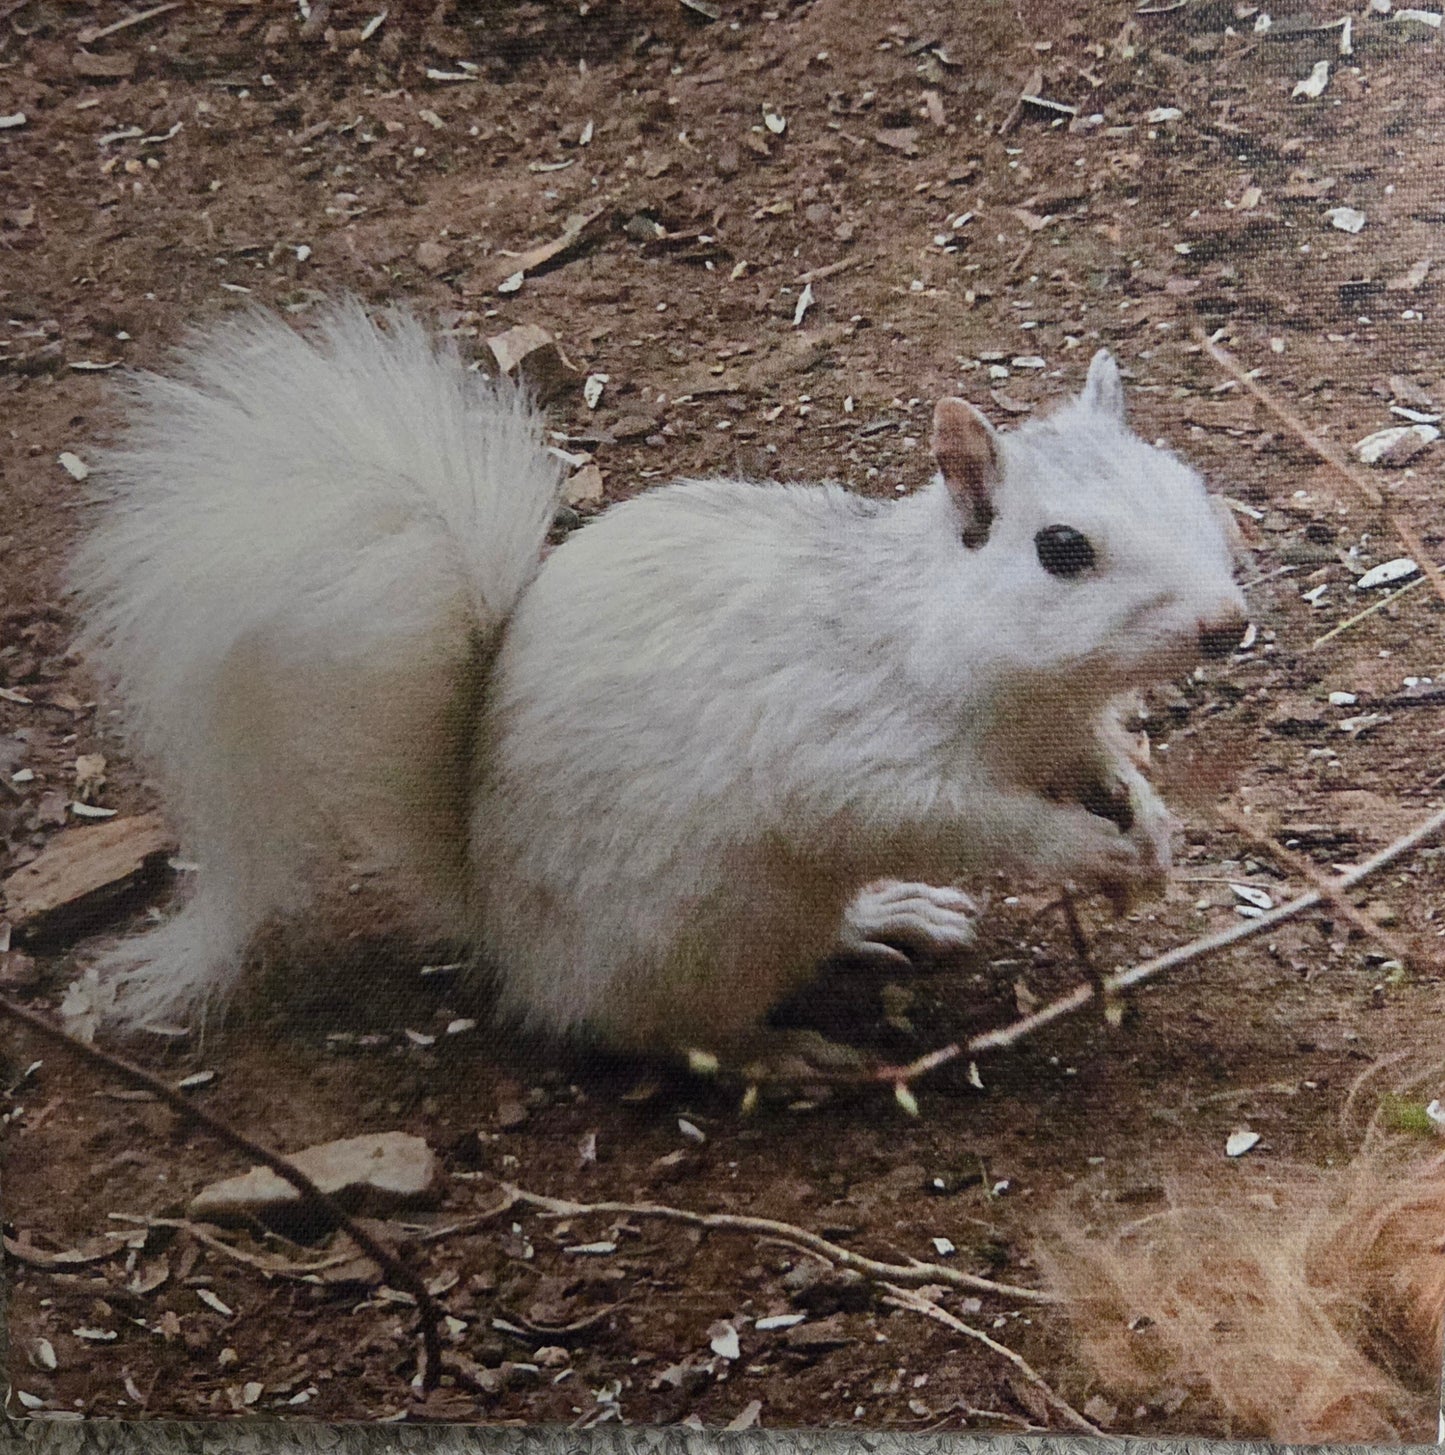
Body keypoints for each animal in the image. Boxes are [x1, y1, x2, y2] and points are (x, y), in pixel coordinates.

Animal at [71, 300, 1247, 1077]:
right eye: (1060, 550)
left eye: (1188, 483)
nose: (1226, 625)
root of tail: (501, 929)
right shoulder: (846, 746)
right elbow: (946, 817)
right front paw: (1081, 849)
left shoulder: (1057, 733)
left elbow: (1095, 763)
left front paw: (1146, 824)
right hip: (705, 934)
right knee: (657, 1032)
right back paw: (778, 1052)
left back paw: (885, 914)